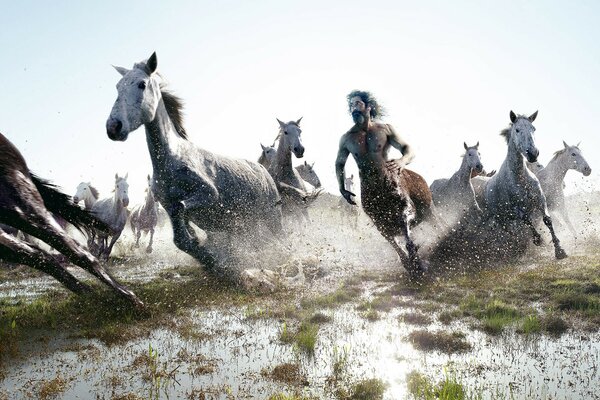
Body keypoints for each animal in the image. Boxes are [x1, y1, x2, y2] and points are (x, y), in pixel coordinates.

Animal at [0, 132, 143, 306]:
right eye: (117, 186)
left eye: (128, 186)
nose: (126, 201)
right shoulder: (101, 232)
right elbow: (100, 245)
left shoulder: (114, 232)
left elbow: (105, 247)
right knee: (37, 253)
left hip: (21, 207)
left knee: (71, 250)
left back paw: (126, 298)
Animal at [106, 52, 284, 272]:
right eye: (118, 86)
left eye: (142, 84)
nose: (113, 127)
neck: (172, 161)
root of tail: (263, 170)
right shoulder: (168, 206)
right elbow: (181, 238)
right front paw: (208, 256)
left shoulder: (209, 195)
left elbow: (183, 210)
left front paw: (209, 255)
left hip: (272, 217)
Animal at [478, 110, 568, 260]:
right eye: (517, 130)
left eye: (533, 128)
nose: (532, 154)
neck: (520, 178)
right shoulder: (517, 208)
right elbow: (526, 220)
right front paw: (538, 240)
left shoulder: (540, 200)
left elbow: (547, 220)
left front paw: (559, 250)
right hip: (501, 217)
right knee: (508, 230)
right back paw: (518, 246)